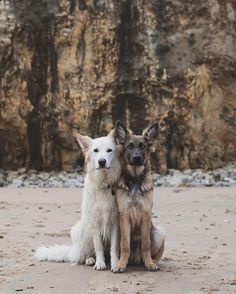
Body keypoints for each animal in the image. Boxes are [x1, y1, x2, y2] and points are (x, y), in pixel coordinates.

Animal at [34, 131, 121, 272]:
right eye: (95, 150)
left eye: (109, 150)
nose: (101, 161)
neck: (103, 183)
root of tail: (73, 250)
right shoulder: (94, 222)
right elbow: (98, 246)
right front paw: (100, 263)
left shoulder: (115, 222)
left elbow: (114, 248)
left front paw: (115, 264)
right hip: (82, 229)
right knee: (85, 254)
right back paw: (90, 260)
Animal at [113, 120, 165, 272]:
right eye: (129, 146)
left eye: (143, 146)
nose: (136, 158)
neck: (135, 178)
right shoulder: (124, 216)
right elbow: (125, 245)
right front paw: (120, 264)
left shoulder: (146, 214)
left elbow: (145, 244)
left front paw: (150, 264)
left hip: (160, 234)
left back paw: (152, 262)